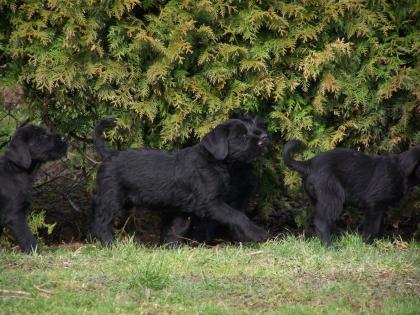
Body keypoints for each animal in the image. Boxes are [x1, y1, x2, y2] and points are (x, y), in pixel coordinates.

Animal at [90, 117, 270, 246]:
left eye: (255, 128)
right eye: (242, 135)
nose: (264, 138)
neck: (215, 161)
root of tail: (110, 154)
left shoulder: (183, 209)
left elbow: (175, 229)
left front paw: (172, 248)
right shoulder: (211, 202)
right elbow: (237, 215)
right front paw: (258, 233)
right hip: (112, 198)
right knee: (102, 222)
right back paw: (110, 244)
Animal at [282, 141, 420, 247]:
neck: (401, 170)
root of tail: (309, 164)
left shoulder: (381, 207)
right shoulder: (374, 205)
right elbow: (372, 226)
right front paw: (369, 244)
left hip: (321, 199)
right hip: (333, 197)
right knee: (322, 222)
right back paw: (329, 246)